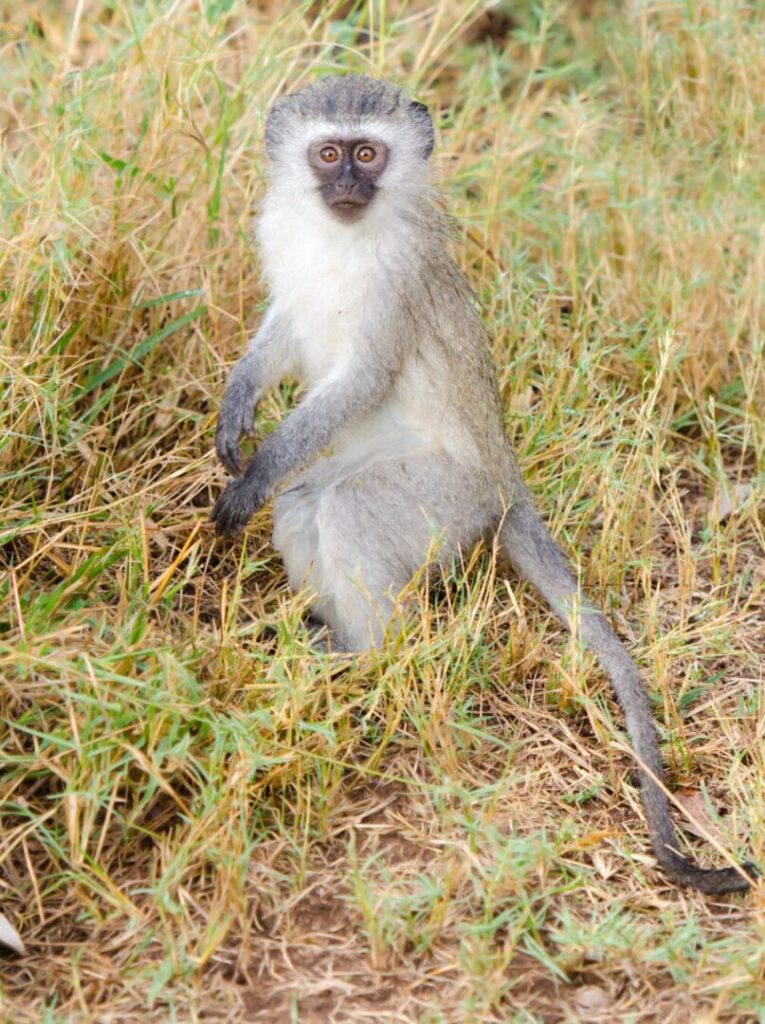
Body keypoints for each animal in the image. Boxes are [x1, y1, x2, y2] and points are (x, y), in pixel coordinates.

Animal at [211, 75, 756, 894]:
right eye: (330, 154)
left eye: (368, 155)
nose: (346, 188)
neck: (341, 236)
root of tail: (504, 482)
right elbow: (283, 328)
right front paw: (236, 407)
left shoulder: (396, 279)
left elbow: (361, 380)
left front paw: (257, 474)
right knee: (307, 507)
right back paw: (328, 641)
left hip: (447, 499)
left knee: (349, 508)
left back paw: (370, 661)